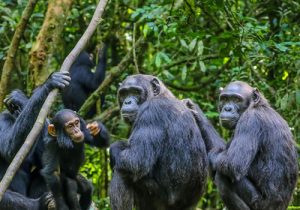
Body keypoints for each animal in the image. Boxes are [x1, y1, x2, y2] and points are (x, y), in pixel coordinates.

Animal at [0, 72, 70, 210]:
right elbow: (8, 150)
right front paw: (49, 83)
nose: (19, 111)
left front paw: (20, 99)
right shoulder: (2, 120)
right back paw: (39, 204)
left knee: (44, 172)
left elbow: (46, 159)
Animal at [109, 74, 209, 210]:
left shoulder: (151, 111)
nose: (127, 101)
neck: (159, 95)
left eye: (135, 92)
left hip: (159, 199)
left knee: (121, 171)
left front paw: (114, 147)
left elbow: (135, 160)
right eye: (124, 93)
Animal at [184, 80, 298, 210]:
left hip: (260, 204)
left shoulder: (250, 121)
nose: (227, 108)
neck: (256, 106)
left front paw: (211, 155)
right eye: (225, 99)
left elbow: (232, 162)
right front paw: (195, 110)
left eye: (237, 99)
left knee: (223, 177)